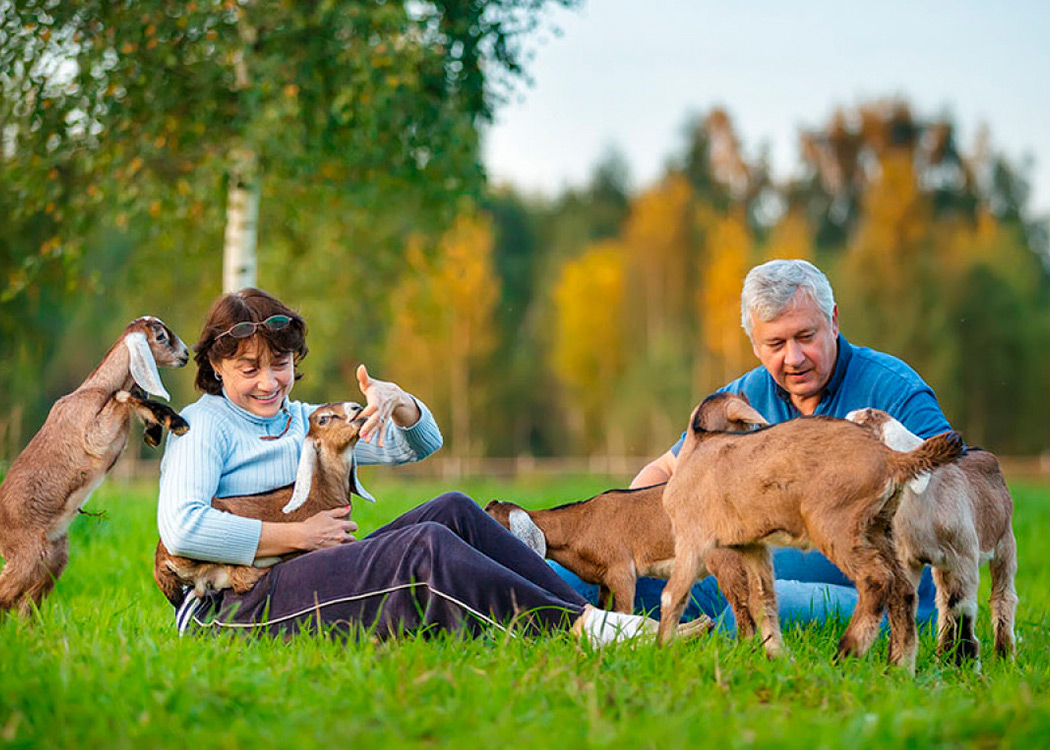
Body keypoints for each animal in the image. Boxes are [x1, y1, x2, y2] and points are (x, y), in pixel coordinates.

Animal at [0, 315, 186, 613]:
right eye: (160, 337)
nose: (185, 355)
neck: (96, 388)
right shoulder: (93, 436)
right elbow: (123, 397)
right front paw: (174, 421)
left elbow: (133, 396)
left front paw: (160, 426)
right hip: (26, 552)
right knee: (7, 596)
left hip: (52, 557)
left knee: (24, 603)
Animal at [659, 390, 961, 672]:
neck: (697, 449)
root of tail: (891, 458)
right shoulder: (753, 546)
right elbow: (762, 600)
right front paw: (779, 656)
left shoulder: (691, 539)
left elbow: (672, 595)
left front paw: (662, 650)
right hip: (877, 527)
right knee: (903, 590)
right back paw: (900, 667)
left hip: (835, 524)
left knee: (876, 579)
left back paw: (848, 650)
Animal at [844, 409, 1016, 659]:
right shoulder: (906, 559)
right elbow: (905, 601)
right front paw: (898, 658)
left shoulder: (963, 557)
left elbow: (962, 609)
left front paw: (963, 661)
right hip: (941, 566)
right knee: (943, 602)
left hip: (1005, 544)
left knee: (1002, 597)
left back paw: (1003, 655)